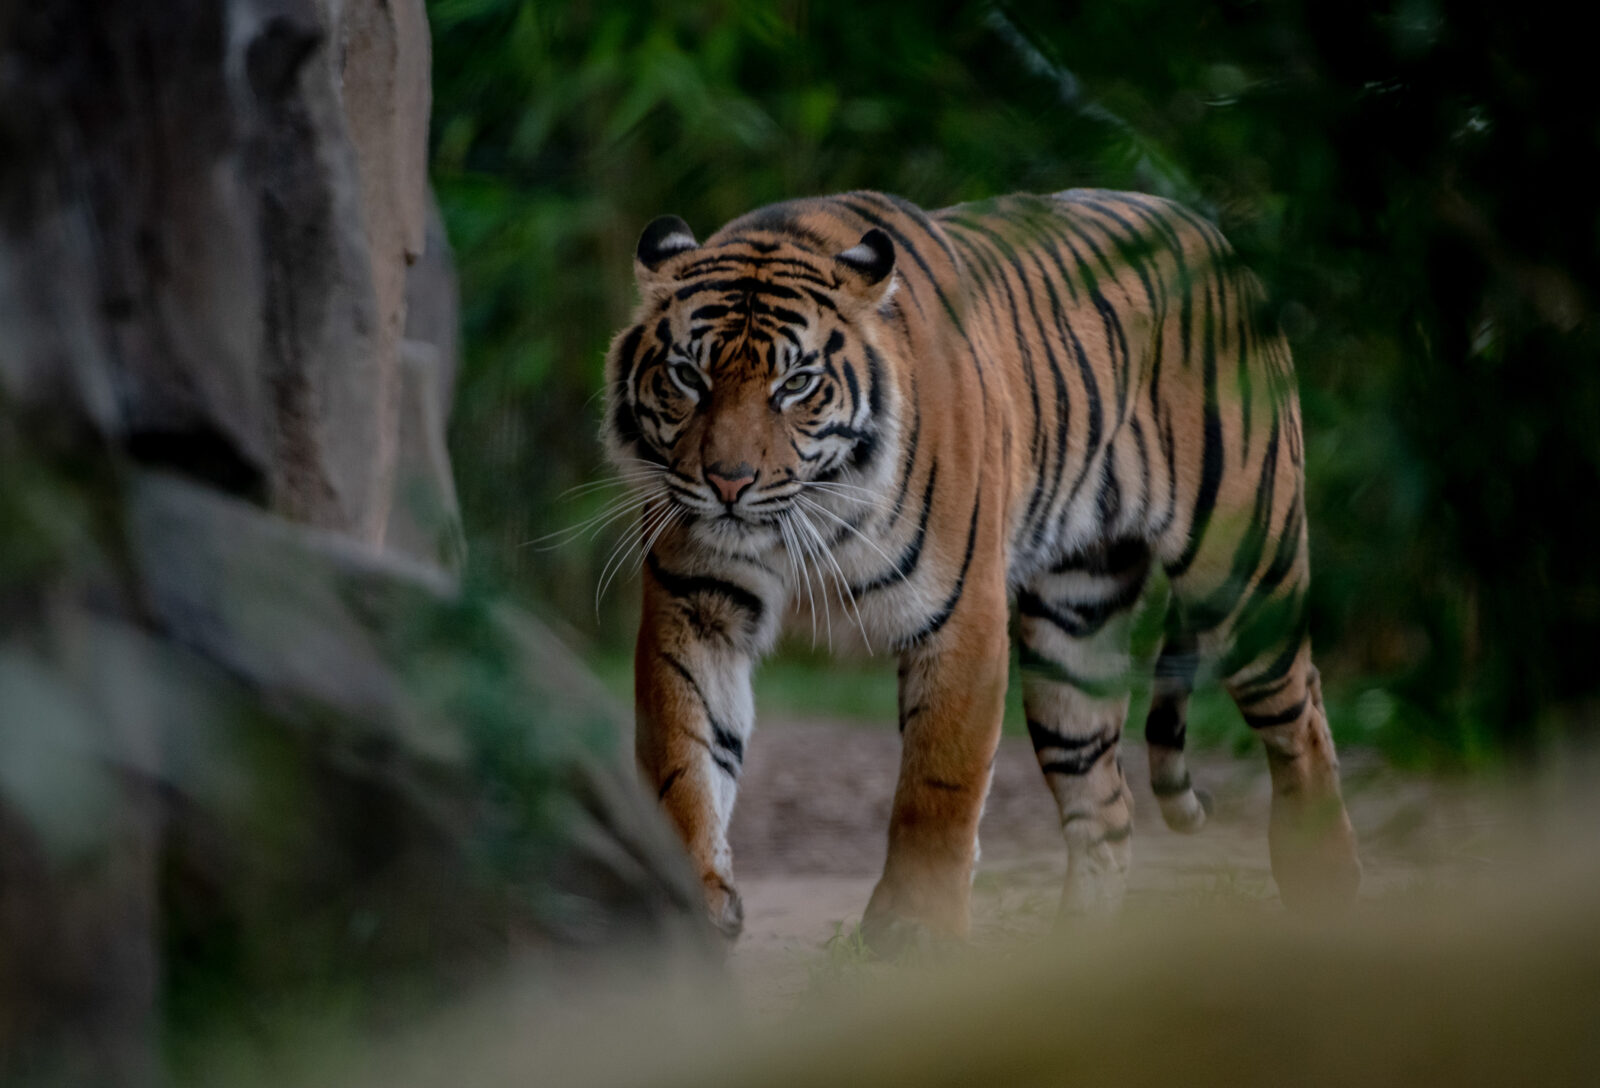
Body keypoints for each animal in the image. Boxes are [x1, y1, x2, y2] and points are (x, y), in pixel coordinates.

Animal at [601, 188, 1363, 953]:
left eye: (796, 384)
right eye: (687, 376)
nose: (728, 483)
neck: (813, 512)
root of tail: (1214, 236)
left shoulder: (961, 611)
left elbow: (940, 782)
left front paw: (916, 923)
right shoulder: (696, 604)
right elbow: (684, 752)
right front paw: (696, 899)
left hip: (1244, 570)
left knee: (1302, 722)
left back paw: (1326, 882)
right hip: (1074, 627)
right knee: (1106, 804)